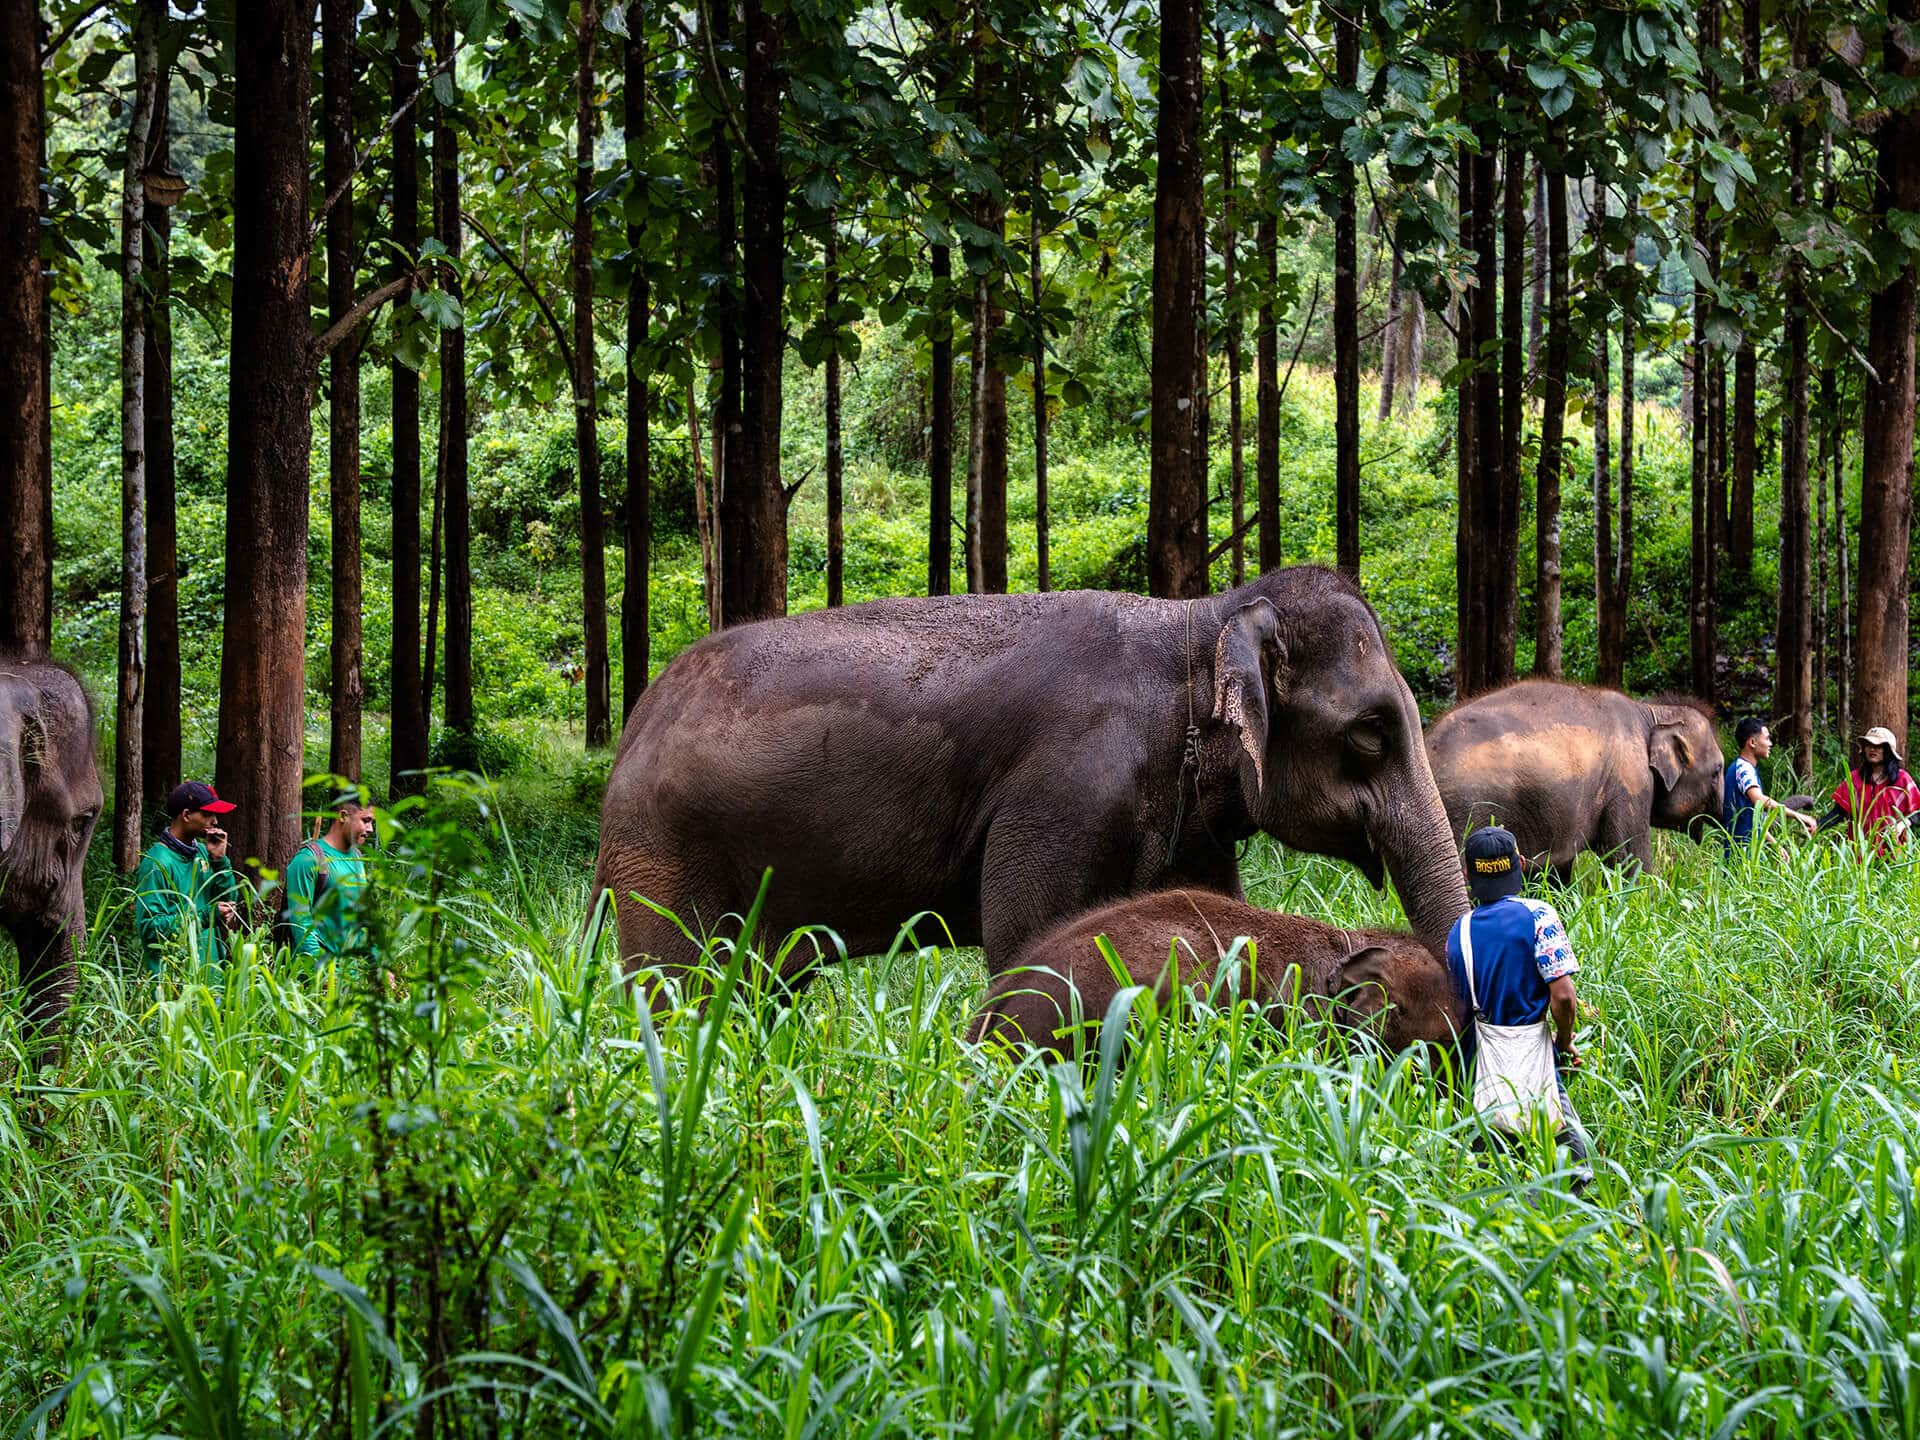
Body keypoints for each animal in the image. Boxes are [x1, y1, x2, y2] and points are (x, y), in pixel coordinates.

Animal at [596, 565, 1469, 1000]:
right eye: (1371, 731)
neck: (1197, 621)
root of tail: (637, 721)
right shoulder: (1068, 791)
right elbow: (1030, 942)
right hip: (660, 852)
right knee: (681, 989)